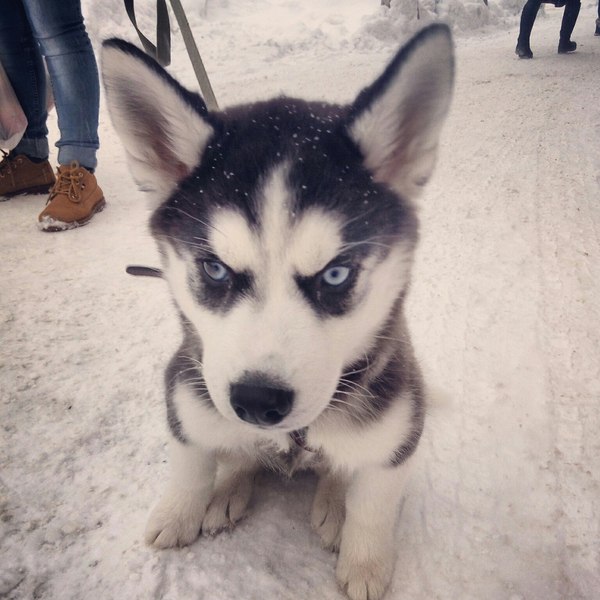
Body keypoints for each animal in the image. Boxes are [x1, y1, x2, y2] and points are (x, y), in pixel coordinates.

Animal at [101, 25, 452, 600]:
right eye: (215, 269)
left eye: (335, 276)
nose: (257, 401)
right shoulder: (186, 392)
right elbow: (190, 461)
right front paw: (180, 511)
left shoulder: (396, 429)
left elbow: (373, 504)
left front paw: (366, 562)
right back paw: (229, 489)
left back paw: (331, 502)